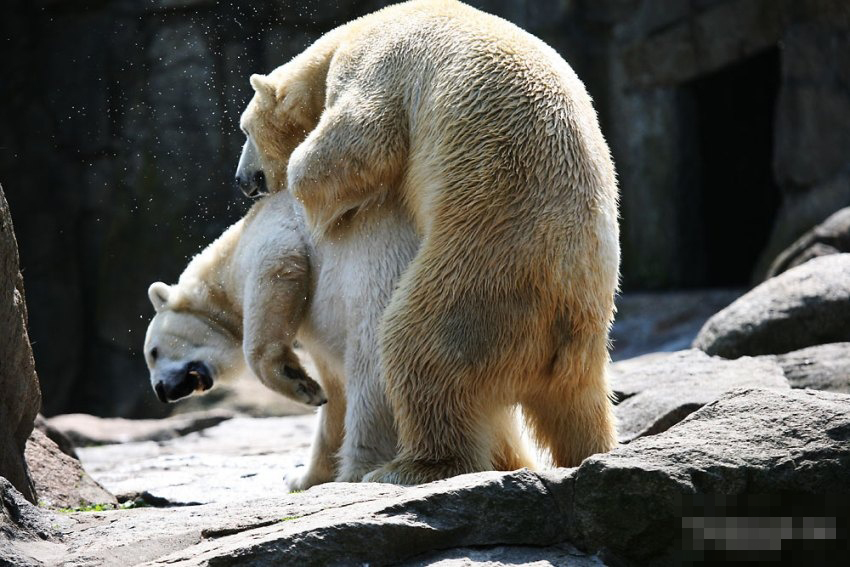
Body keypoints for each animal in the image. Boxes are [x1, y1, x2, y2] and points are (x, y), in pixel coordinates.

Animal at [235, 0, 620, 485]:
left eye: (245, 129)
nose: (242, 180)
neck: (347, 37)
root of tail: (562, 315)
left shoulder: (375, 66)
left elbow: (357, 145)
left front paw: (310, 192)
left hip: (485, 277)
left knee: (418, 346)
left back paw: (406, 467)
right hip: (584, 329)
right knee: (579, 404)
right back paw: (593, 450)